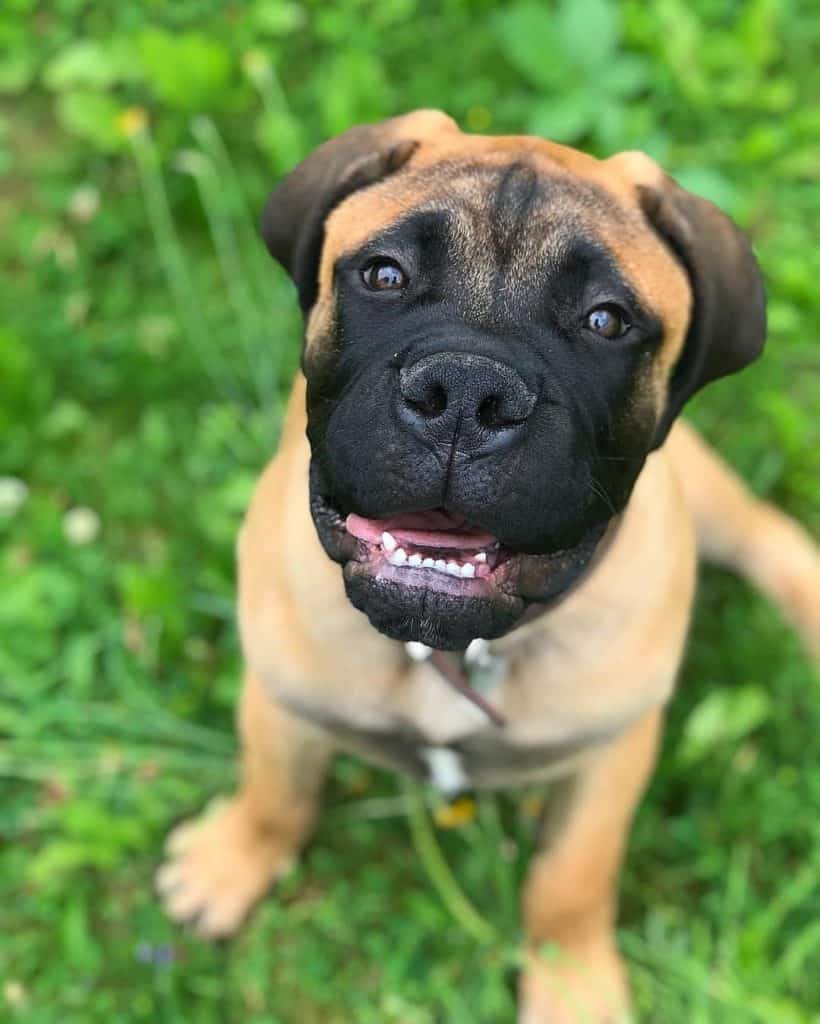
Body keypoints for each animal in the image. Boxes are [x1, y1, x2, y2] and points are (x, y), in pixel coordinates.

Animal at [155, 112, 818, 1024]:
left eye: (607, 320)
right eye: (384, 274)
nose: (466, 393)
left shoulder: (612, 754)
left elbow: (571, 880)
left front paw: (573, 988)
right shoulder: (280, 695)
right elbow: (275, 789)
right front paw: (230, 861)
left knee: (762, 530)